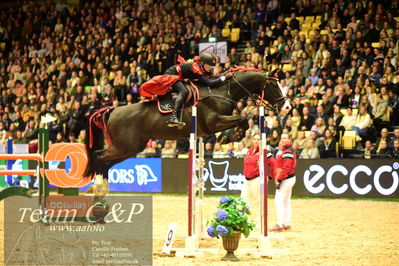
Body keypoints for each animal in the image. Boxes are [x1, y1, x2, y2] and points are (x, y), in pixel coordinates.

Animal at [83, 71, 290, 178]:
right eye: (274, 85)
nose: (287, 106)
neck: (222, 91)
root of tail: (112, 111)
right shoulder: (213, 122)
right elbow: (242, 120)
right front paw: (228, 137)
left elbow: (243, 122)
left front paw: (229, 137)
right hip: (125, 146)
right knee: (99, 156)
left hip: (132, 148)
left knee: (105, 162)